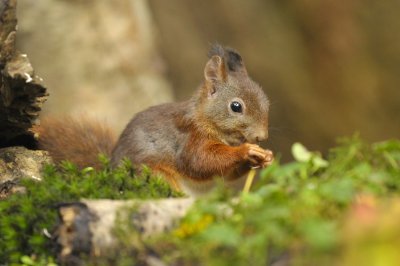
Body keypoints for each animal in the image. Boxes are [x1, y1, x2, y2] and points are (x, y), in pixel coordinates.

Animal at [37, 45, 274, 195]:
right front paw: (246, 151)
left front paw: (266, 157)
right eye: (236, 106)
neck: (204, 119)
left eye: (267, 101)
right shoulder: (189, 139)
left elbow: (226, 174)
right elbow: (201, 161)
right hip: (155, 176)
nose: (262, 136)